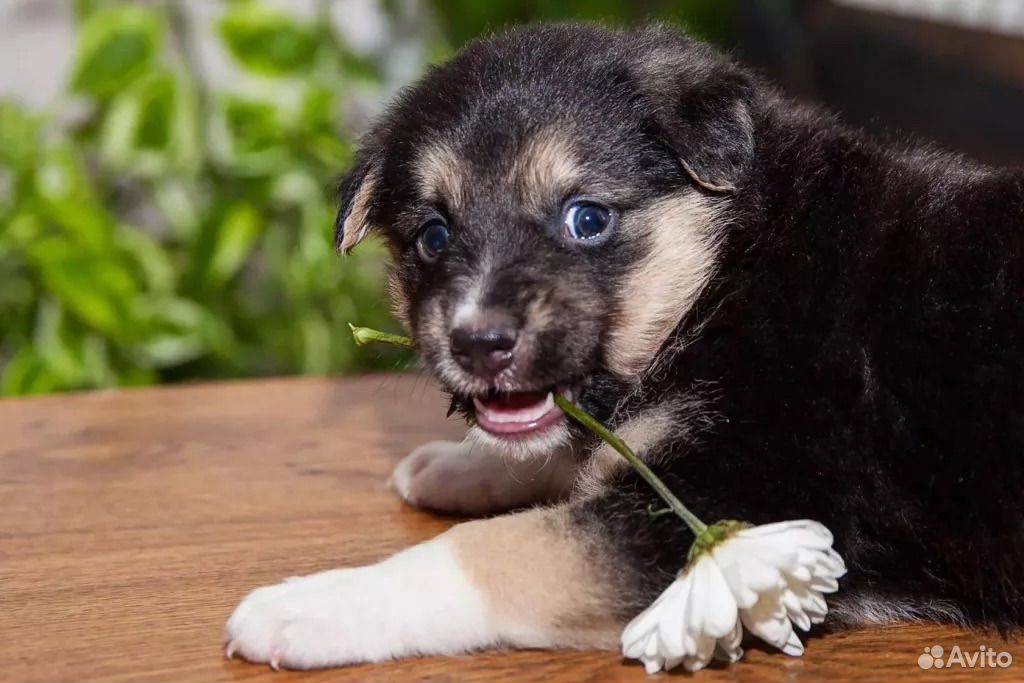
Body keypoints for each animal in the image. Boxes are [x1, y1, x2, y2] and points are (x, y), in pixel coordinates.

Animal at [224, 22, 1024, 667]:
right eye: (434, 236)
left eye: (587, 218)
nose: (478, 343)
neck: (734, 266)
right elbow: (580, 452)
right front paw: (461, 464)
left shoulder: (753, 511)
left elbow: (501, 546)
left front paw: (312, 606)